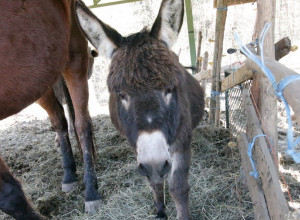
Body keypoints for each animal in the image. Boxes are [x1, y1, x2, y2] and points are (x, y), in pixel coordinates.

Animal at [0, 0, 101, 218]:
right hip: (40, 79)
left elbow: (8, 195)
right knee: (59, 121)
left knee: (82, 125)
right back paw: (69, 174)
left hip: (74, 58)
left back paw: (91, 192)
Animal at [76, 0, 205, 219]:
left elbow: (178, 188)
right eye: (121, 95)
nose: (155, 163)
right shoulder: (137, 147)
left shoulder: (181, 141)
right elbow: (154, 182)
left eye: (170, 89)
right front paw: (160, 211)